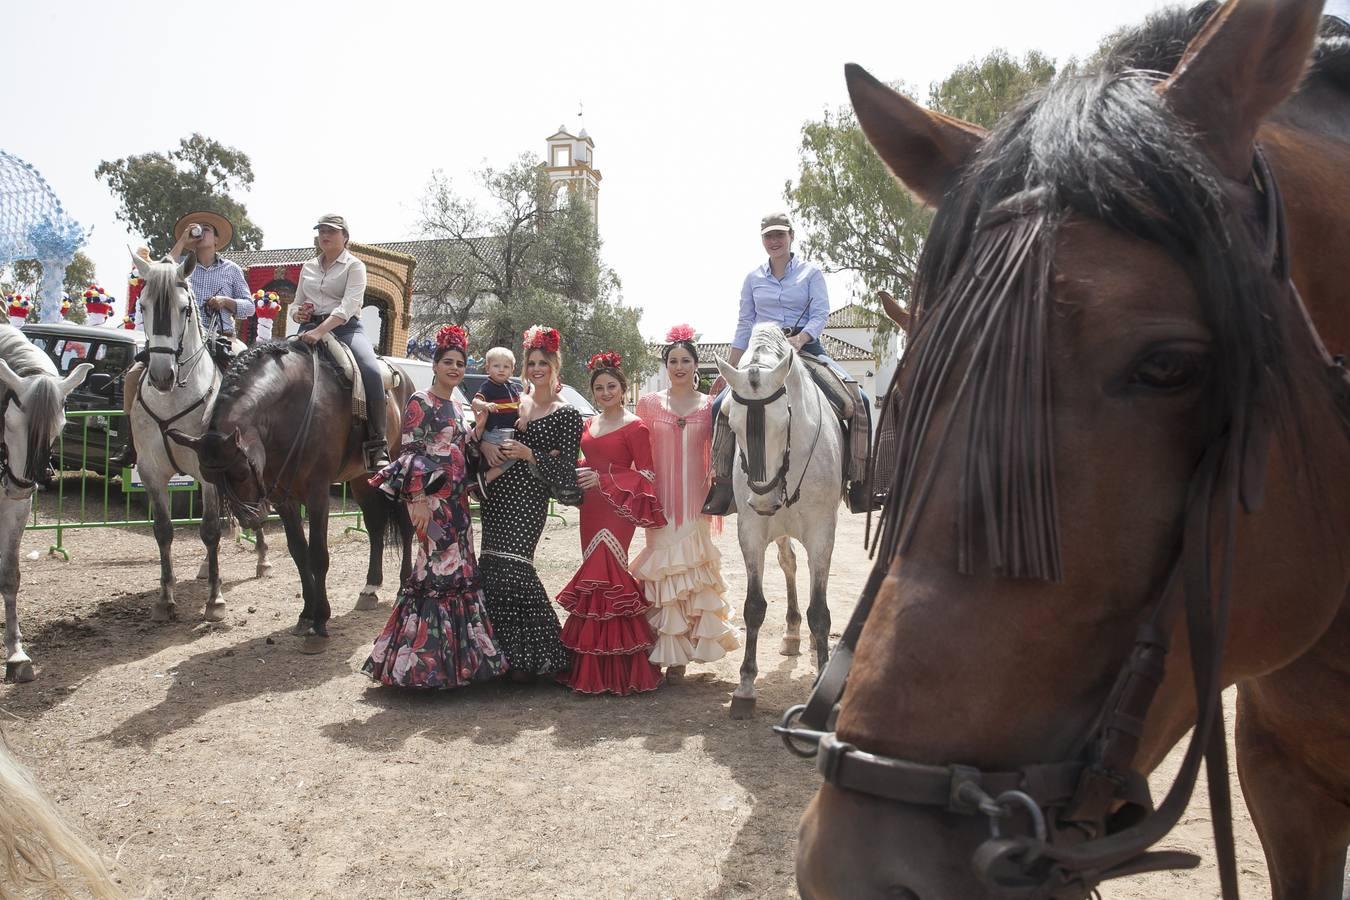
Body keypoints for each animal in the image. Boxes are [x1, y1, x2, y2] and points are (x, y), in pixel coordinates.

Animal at [0, 325, 90, 682]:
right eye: (10, 422)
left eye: (59, 426)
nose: (18, 486)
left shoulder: (16, 511)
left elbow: (9, 575)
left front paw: (16, 653)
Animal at [128, 249, 268, 623]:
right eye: (142, 306)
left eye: (184, 309)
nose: (162, 375)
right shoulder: (150, 472)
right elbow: (163, 530)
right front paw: (165, 599)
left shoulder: (208, 473)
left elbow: (209, 530)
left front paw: (215, 602)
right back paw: (207, 568)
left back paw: (262, 557)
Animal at [171, 341, 410, 650]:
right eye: (209, 478)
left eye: (242, 472)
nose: (250, 520)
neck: (288, 411)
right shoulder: (283, 497)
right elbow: (298, 552)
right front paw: (307, 614)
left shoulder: (317, 493)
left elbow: (318, 554)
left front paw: (320, 623)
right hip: (361, 480)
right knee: (375, 526)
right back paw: (370, 589)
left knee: (406, 528)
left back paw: (404, 586)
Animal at [718, 323, 842, 717]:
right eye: (731, 420)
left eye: (785, 419)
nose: (762, 497)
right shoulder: (751, 531)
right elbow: (754, 606)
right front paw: (745, 685)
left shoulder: (822, 532)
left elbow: (820, 611)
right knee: (788, 563)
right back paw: (791, 633)